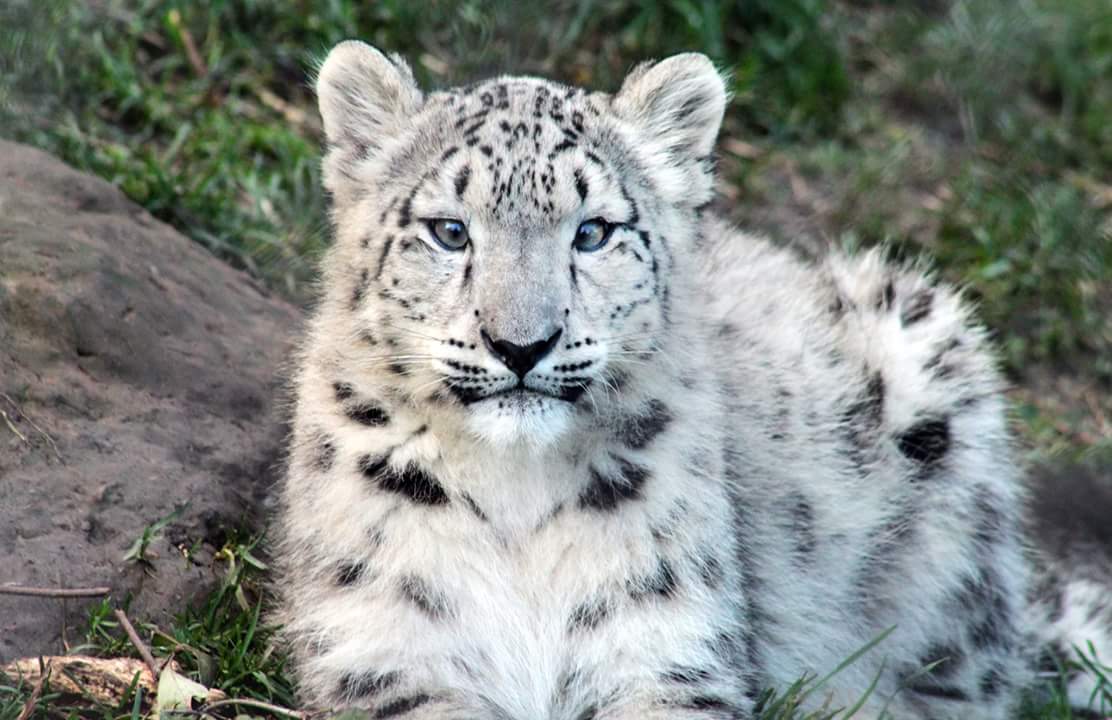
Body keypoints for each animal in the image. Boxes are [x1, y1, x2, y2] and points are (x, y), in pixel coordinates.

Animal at [273, 40, 1110, 719]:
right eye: (449, 231)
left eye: (593, 232)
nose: (521, 344)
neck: (516, 500)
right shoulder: (390, 652)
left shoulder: (666, 653)